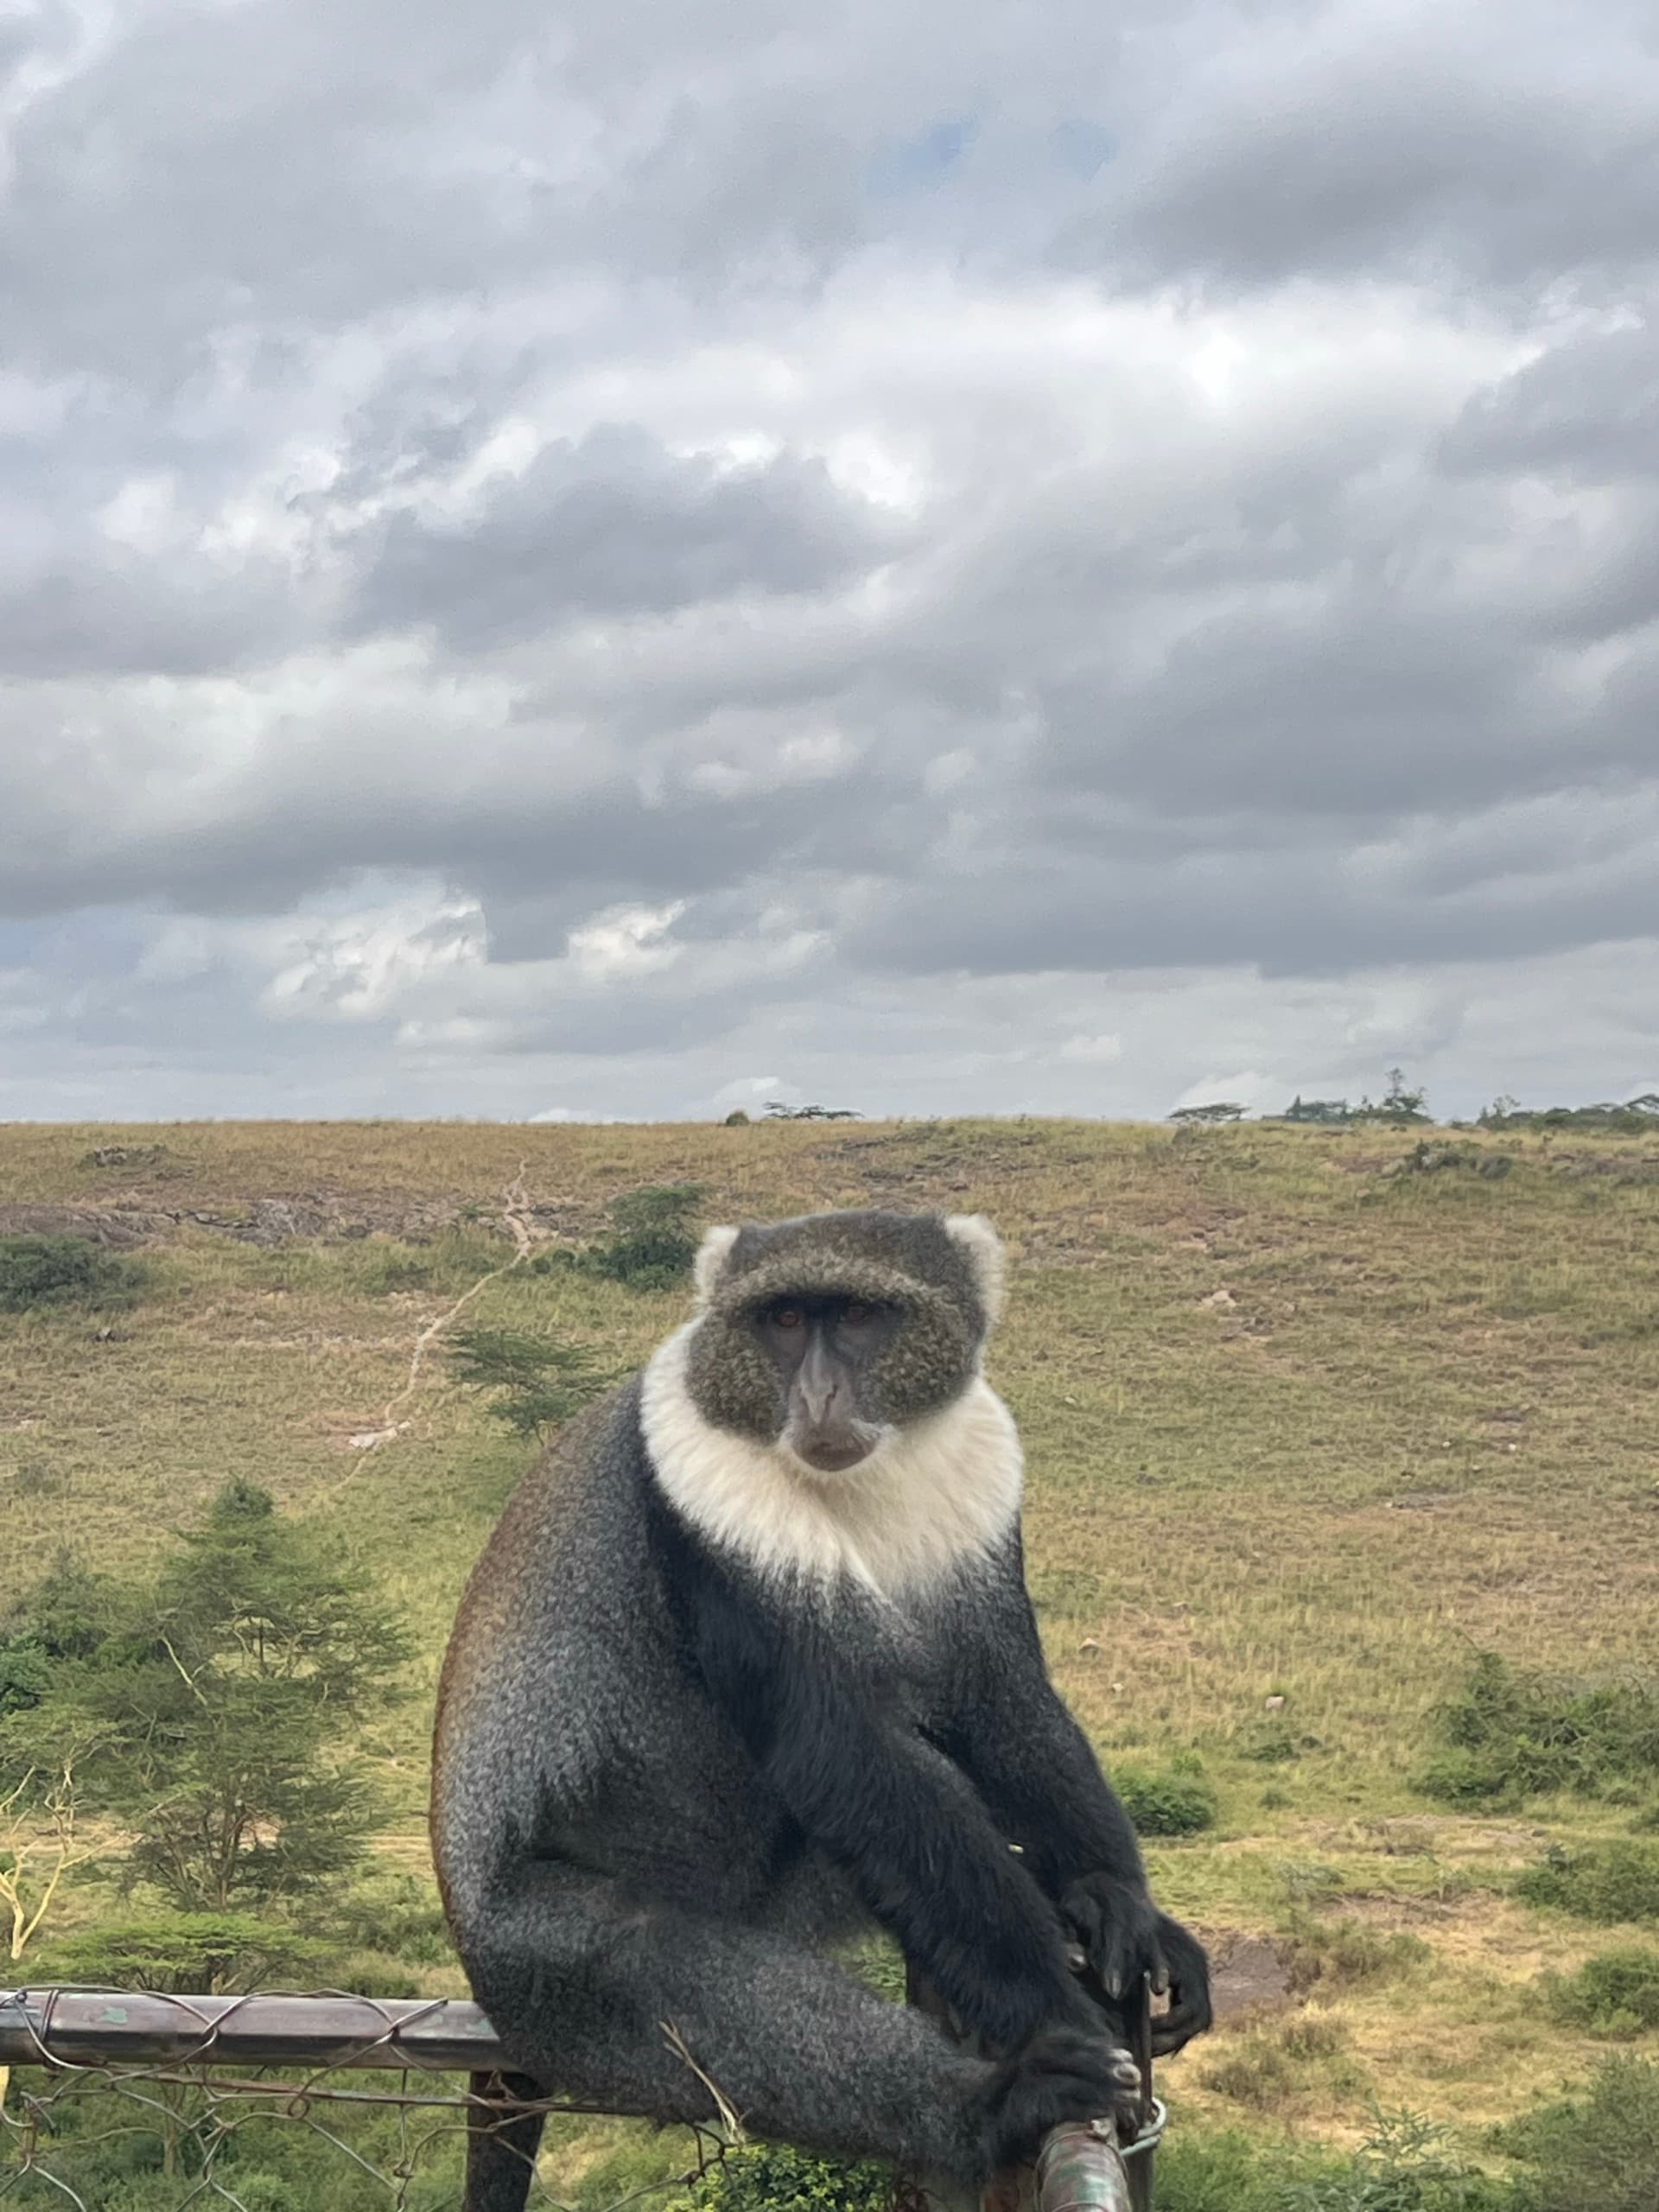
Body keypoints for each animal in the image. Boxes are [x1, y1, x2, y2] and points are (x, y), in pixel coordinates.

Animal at [430, 1209, 1211, 2212]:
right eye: (787, 1317)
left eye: (866, 1315)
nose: (821, 1394)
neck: (874, 1475)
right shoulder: (702, 1486)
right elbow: (843, 1745)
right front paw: (1058, 2011)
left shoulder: (980, 1479)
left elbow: (999, 1694)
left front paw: (1120, 1909)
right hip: (534, 1955)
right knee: (667, 1971)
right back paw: (989, 2107)